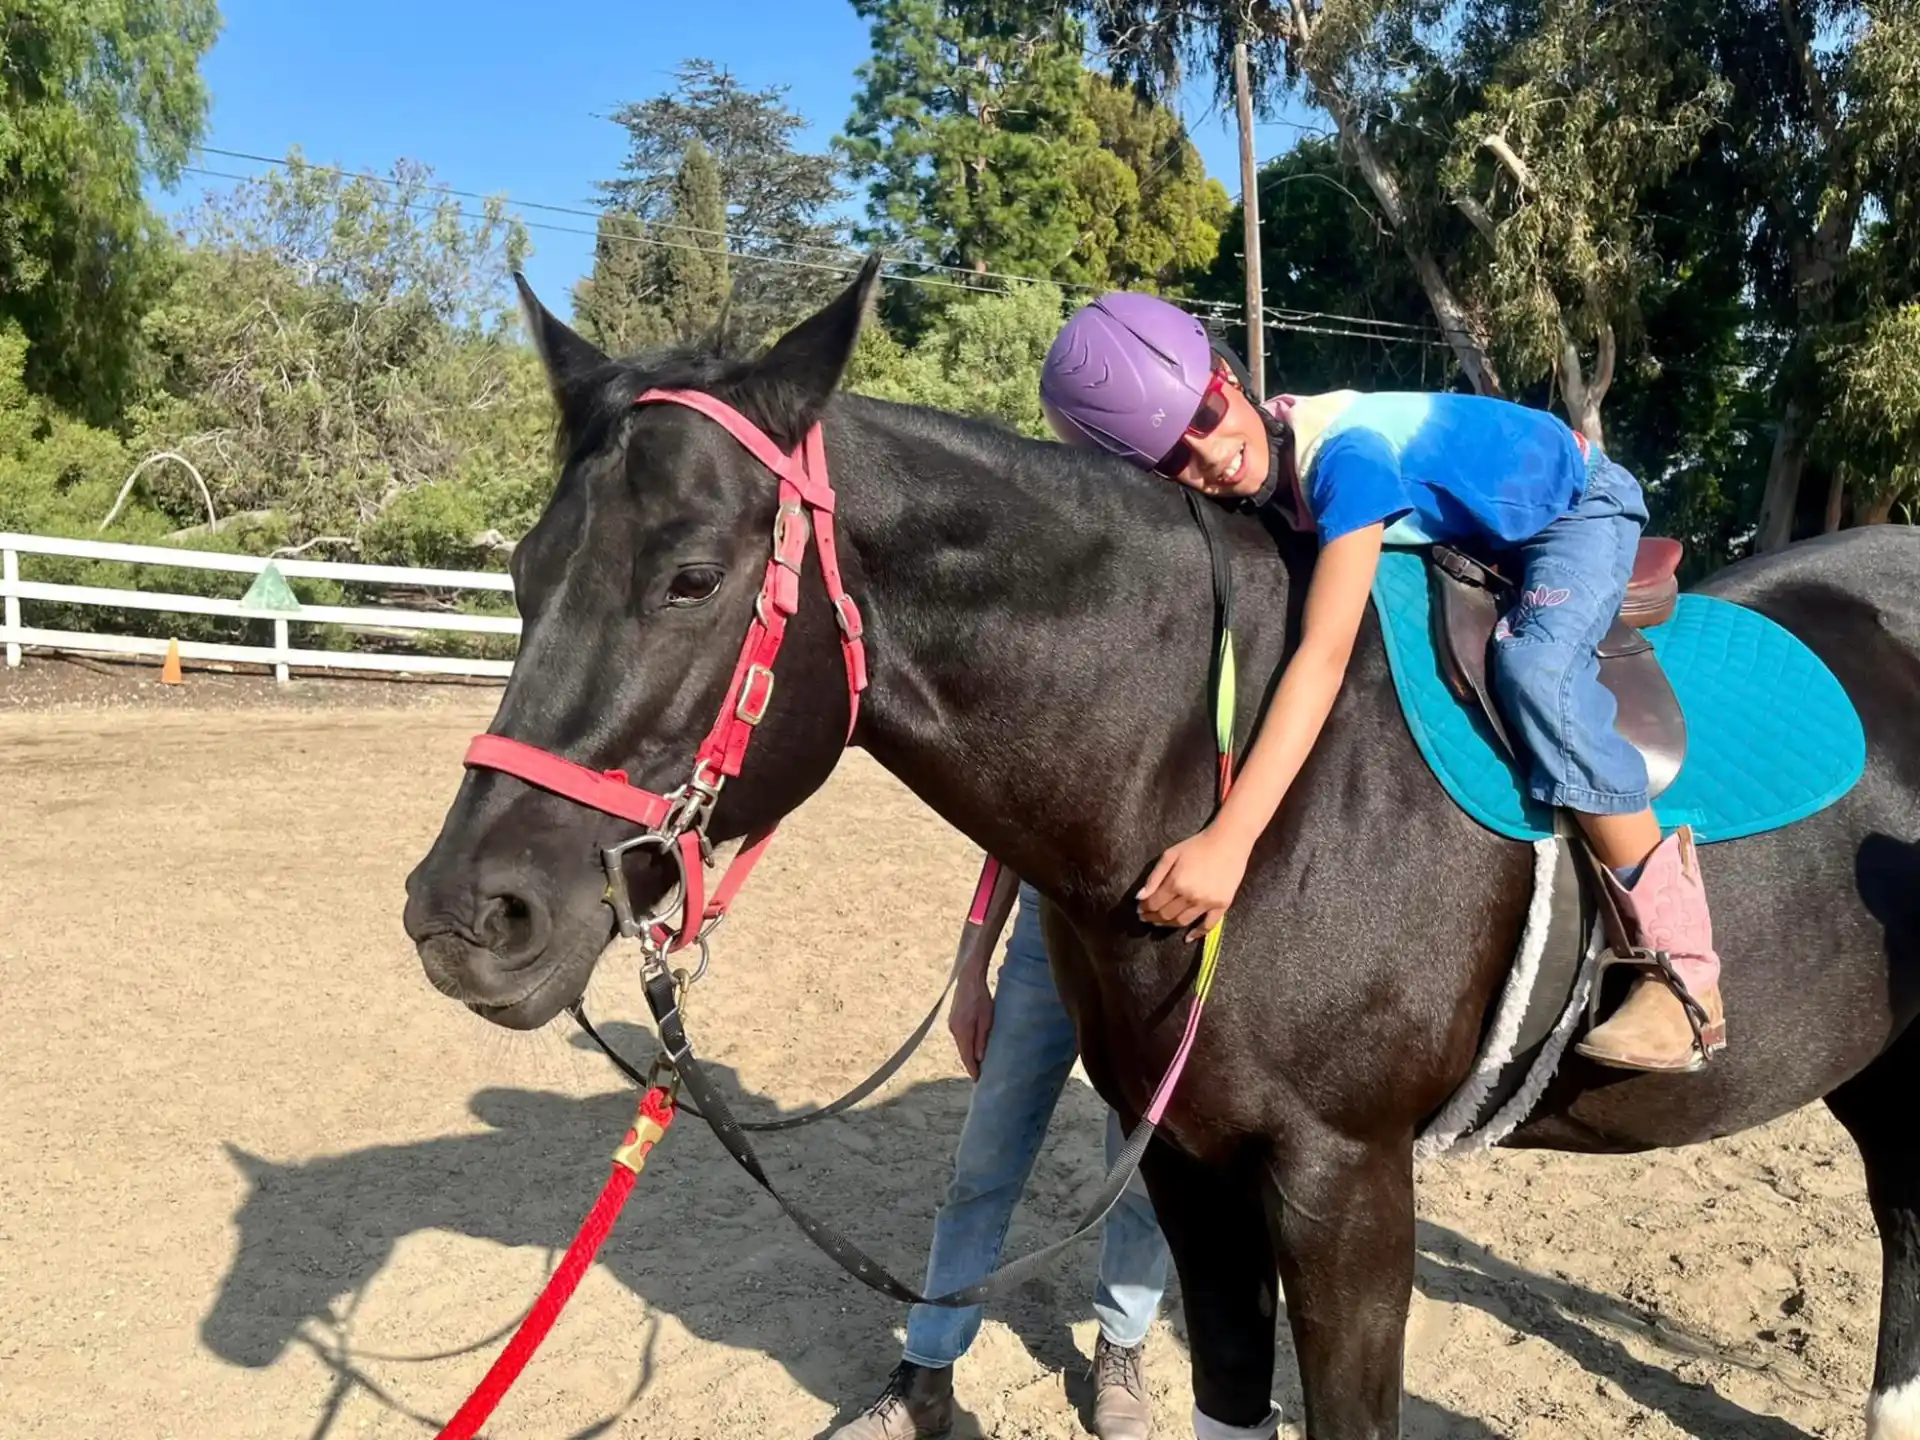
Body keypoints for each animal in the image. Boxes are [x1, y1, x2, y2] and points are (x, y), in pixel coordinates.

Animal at [402, 258, 1920, 1439]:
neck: (1220, 783)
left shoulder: (1347, 1189)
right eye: (523, 573)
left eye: (691, 577)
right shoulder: (1191, 1166)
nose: (466, 915)